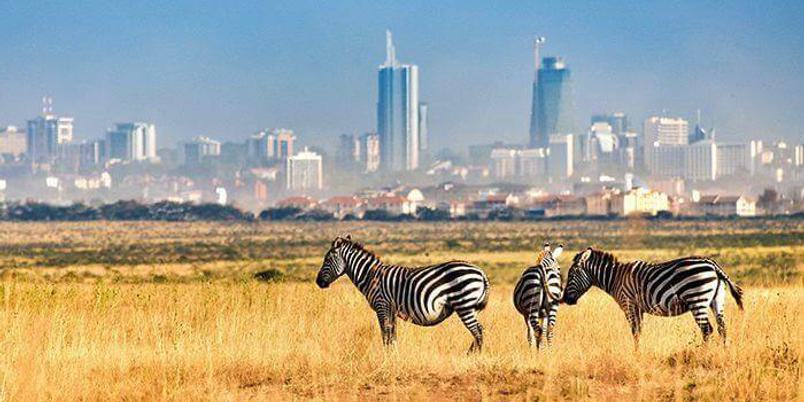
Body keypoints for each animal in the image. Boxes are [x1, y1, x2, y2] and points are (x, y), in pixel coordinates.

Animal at [315, 235, 491, 352]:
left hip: (464, 304)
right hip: (470, 307)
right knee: (479, 331)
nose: (318, 282)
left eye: (327, 260)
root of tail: (481, 272)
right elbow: (392, 335)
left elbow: (385, 333)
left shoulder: (382, 305)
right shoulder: (391, 309)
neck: (370, 275)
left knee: (478, 331)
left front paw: (387, 357)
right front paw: (394, 355)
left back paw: (472, 356)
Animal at [562, 248, 744, 346]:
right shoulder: (638, 308)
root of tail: (713, 265)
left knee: (707, 330)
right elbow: (639, 331)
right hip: (716, 301)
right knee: (722, 328)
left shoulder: (629, 305)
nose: (565, 300)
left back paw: (703, 355)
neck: (615, 278)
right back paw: (724, 353)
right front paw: (639, 351)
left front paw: (636, 355)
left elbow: (635, 331)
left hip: (697, 299)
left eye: (570, 275)